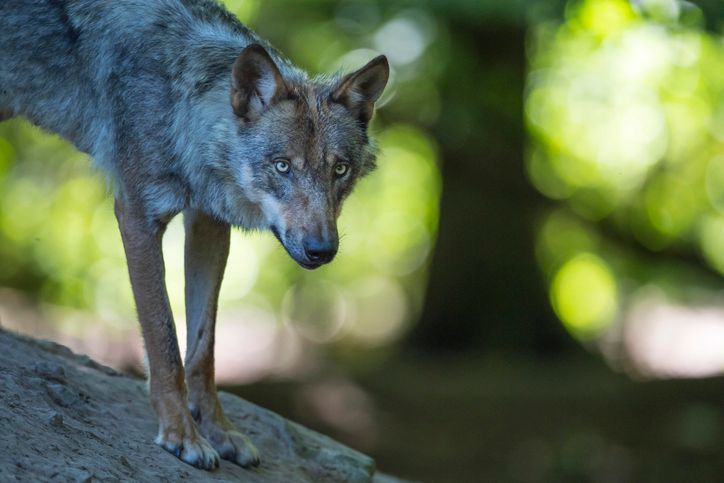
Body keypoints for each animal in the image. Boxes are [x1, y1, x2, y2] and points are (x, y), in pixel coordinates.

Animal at [0, 0, 388, 471]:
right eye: (282, 166)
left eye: (340, 170)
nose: (322, 250)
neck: (181, 104)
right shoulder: (137, 215)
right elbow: (164, 341)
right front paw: (181, 435)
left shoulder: (208, 225)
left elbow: (204, 349)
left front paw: (218, 430)